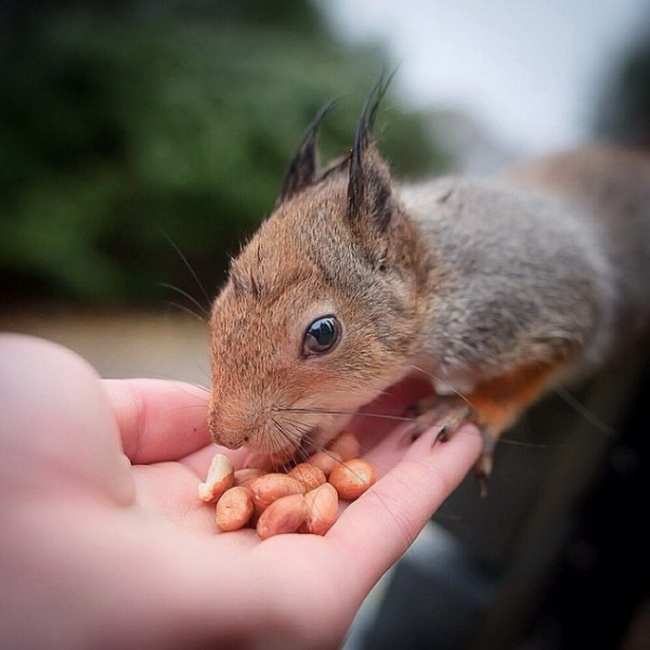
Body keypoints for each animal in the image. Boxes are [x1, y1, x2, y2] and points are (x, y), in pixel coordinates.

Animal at [206, 74, 648, 480]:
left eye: (323, 333)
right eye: (217, 306)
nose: (228, 435)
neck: (439, 281)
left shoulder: (544, 306)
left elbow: (540, 368)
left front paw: (469, 409)